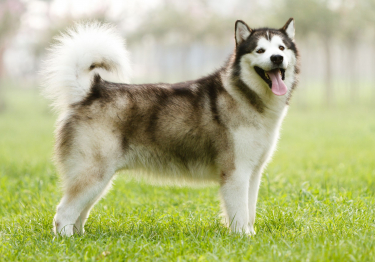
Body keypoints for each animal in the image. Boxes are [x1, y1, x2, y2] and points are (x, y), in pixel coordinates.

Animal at [41, 17, 300, 236]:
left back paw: (81, 238)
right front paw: (242, 239)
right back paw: (67, 242)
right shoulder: (235, 172)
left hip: (99, 180)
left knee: (79, 213)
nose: (276, 59)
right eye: (260, 50)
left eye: (281, 48)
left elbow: (250, 211)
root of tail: (91, 90)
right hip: (93, 174)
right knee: (63, 214)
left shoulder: (253, 173)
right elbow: (239, 213)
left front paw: (251, 235)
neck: (247, 96)